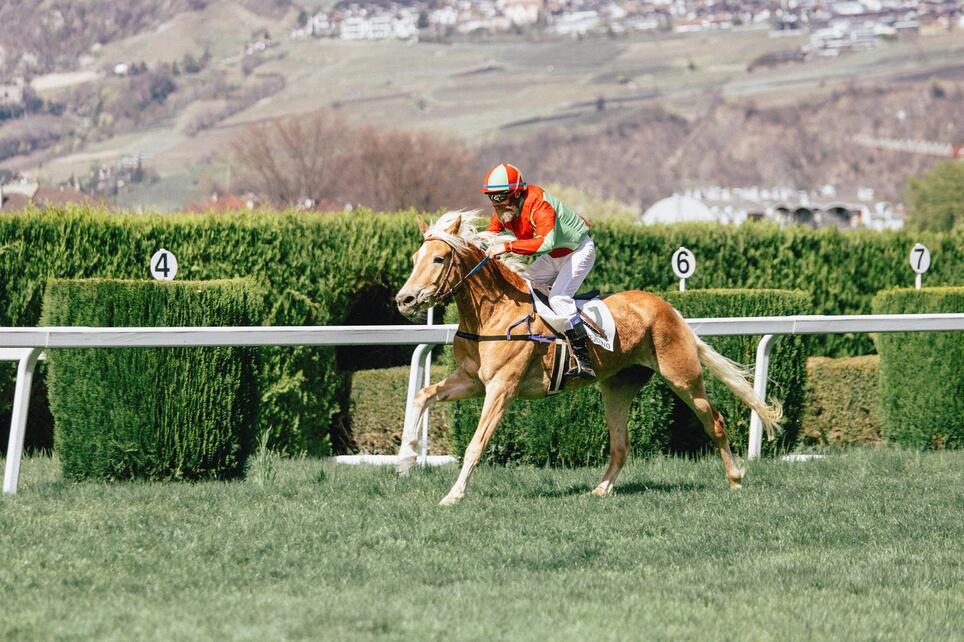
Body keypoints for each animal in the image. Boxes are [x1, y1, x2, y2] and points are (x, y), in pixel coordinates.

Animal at [394, 211, 782, 506]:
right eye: (414, 259)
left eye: (439, 258)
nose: (405, 300)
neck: (494, 314)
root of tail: (668, 307)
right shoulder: (472, 380)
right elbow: (421, 396)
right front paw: (406, 459)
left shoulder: (502, 387)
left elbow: (477, 443)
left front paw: (453, 495)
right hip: (617, 388)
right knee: (621, 445)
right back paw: (601, 488)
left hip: (682, 375)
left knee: (713, 420)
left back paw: (735, 477)